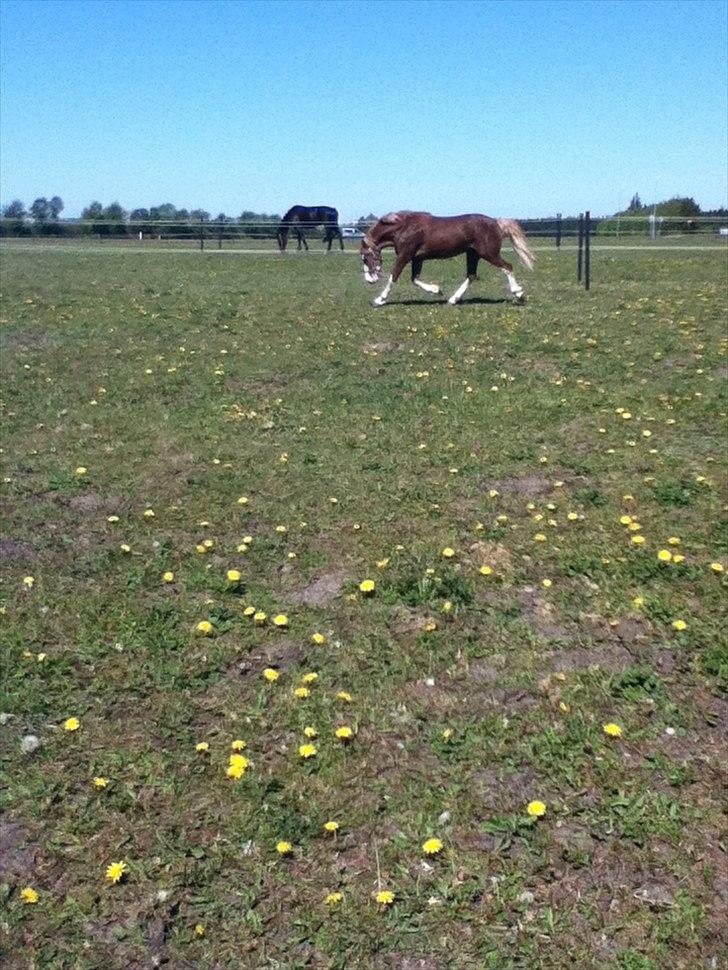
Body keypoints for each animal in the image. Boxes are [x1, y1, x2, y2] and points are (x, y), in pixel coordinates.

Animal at [360, 210, 536, 304]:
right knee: (471, 275)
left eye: (365, 258)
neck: (404, 228)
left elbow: (393, 277)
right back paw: (452, 299)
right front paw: (436, 290)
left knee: (507, 267)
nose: (369, 280)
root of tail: (497, 223)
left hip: (488, 253)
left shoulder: (405, 256)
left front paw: (379, 300)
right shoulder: (417, 259)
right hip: (473, 254)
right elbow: (415, 279)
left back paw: (518, 293)